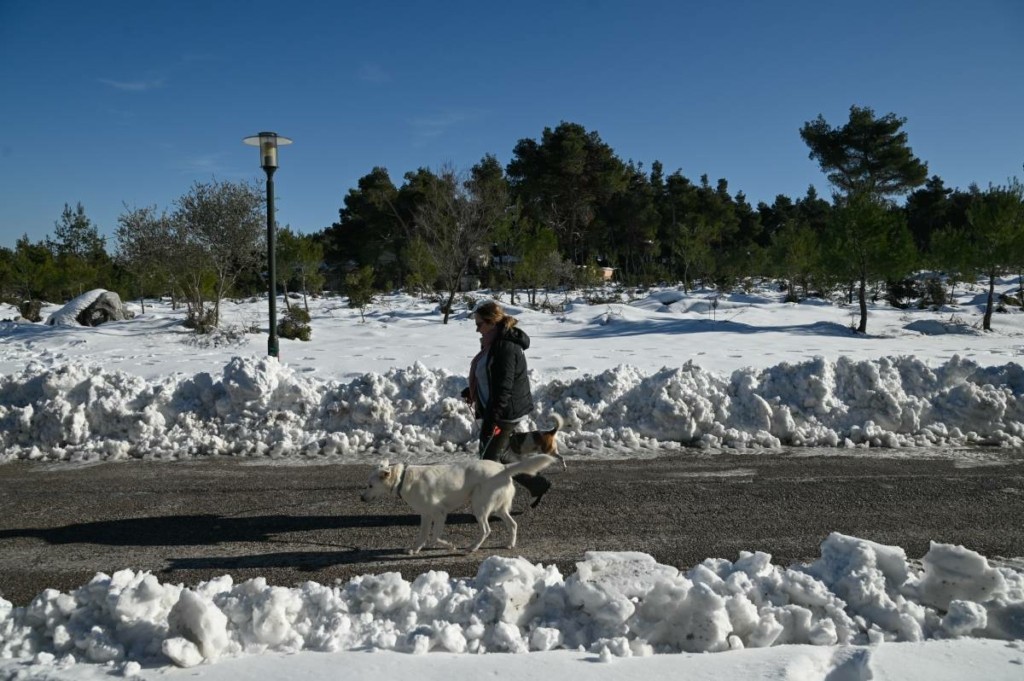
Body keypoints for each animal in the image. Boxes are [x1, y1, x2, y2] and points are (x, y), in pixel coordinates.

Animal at [362, 450, 557, 552]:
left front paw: (449, 545)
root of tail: (502, 467)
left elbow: (434, 537)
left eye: (370, 485)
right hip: (498, 508)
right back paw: (510, 544)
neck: (402, 478)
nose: (361, 498)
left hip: (479, 507)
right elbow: (423, 536)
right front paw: (415, 549)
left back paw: (472, 547)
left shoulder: (439, 514)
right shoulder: (426, 515)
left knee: (487, 530)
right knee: (513, 524)